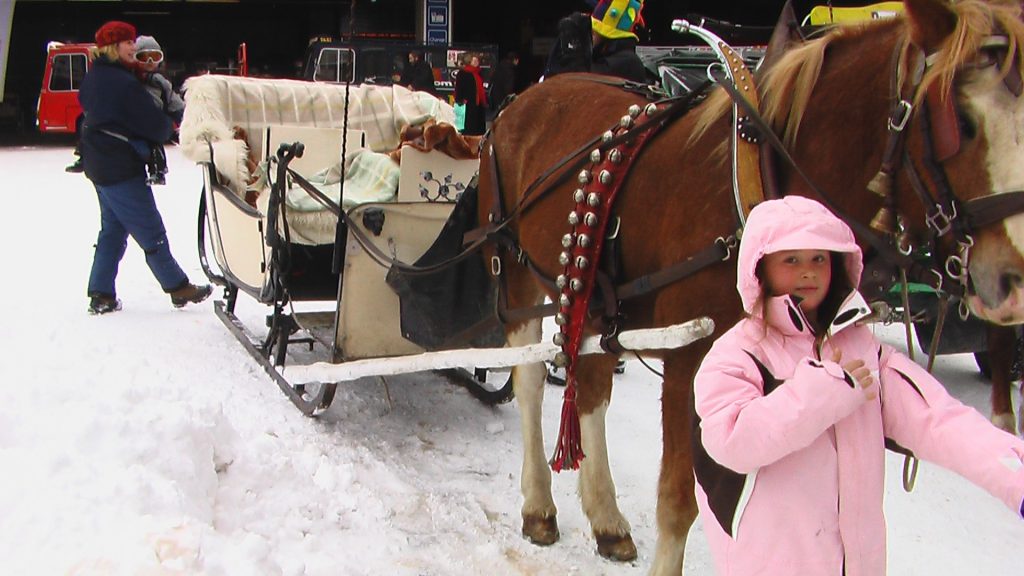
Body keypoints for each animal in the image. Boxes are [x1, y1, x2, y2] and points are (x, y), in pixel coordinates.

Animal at [481, 1, 1024, 569]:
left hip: (599, 296)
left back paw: (605, 517)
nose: (1013, 278)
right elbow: (679, 499)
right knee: (529, 380)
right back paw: (538, 505)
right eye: (962, 122)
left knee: (590, 387)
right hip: (515, 272)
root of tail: (524, 99)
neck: (764, 185)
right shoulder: (690, 361)